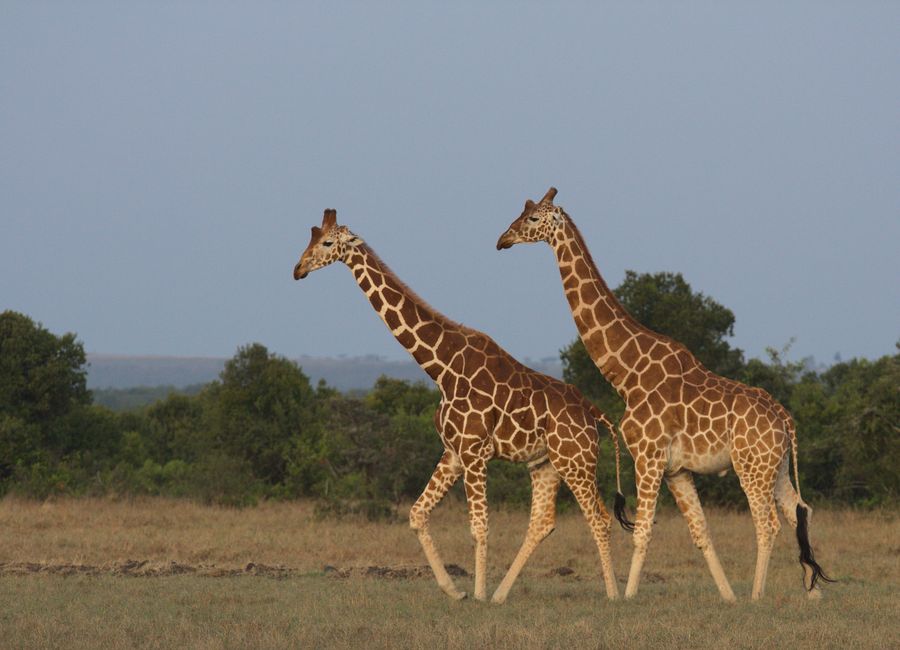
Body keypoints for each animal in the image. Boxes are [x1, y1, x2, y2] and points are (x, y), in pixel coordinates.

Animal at [293, 208, 628, 603]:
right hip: (545, 464)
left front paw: (478, 594)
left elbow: (479, 527)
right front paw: (455, 591)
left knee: (599, 518)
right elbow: (417, 514)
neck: (441, 367)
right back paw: (502, 594)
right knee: (543, 523)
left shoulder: (473, 452)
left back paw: (612, 594)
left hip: (576, 461)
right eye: (310, 238)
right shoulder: (453, 452)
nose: (298, 268)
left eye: (327, 242)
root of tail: (594, 413)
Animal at [496, 188, 832, 601]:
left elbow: (642, 531)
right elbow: (701, 532)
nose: (502, 240)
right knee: (799, 509)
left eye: (531, 219)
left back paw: (758, 596)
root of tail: (785, 419)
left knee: (769, 523)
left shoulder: (648, 455)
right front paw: (727, 597)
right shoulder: (677, 470)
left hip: (751, 466)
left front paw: (627, 597)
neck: (628, 374)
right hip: (778, 465)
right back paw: (811, 593)